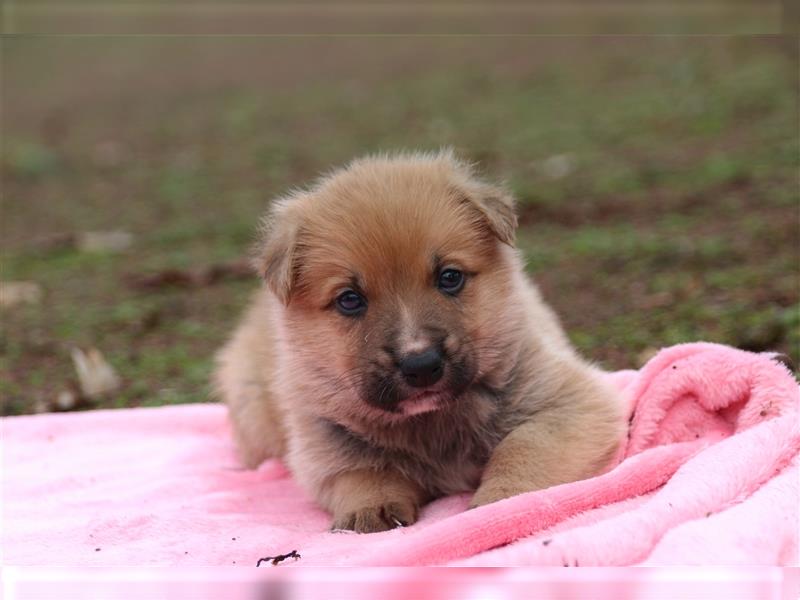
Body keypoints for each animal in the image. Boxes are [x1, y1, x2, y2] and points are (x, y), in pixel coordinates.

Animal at [214, 151, 624, 536]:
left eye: (450, 277)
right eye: (350, 299)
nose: (421, 365)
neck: (431, 421)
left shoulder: (569, 403)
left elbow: (524, 448)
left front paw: (502, 501)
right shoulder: (323, 446)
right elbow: (365, 471)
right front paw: (371, 509)